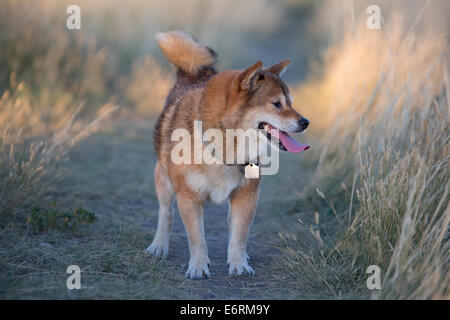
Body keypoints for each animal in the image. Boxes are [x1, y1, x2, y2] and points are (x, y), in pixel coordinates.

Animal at [148, 30, 310, 280]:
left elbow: (239, 235)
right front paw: (198, 266)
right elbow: (197, 238)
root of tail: (195, 74)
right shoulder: (188, 197)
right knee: (166, 212)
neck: (224, 149)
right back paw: (159, 245)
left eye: (291, 103)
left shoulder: (246, 195)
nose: (306, 122)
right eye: (276, 104)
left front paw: (238, 264)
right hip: (163, 180)